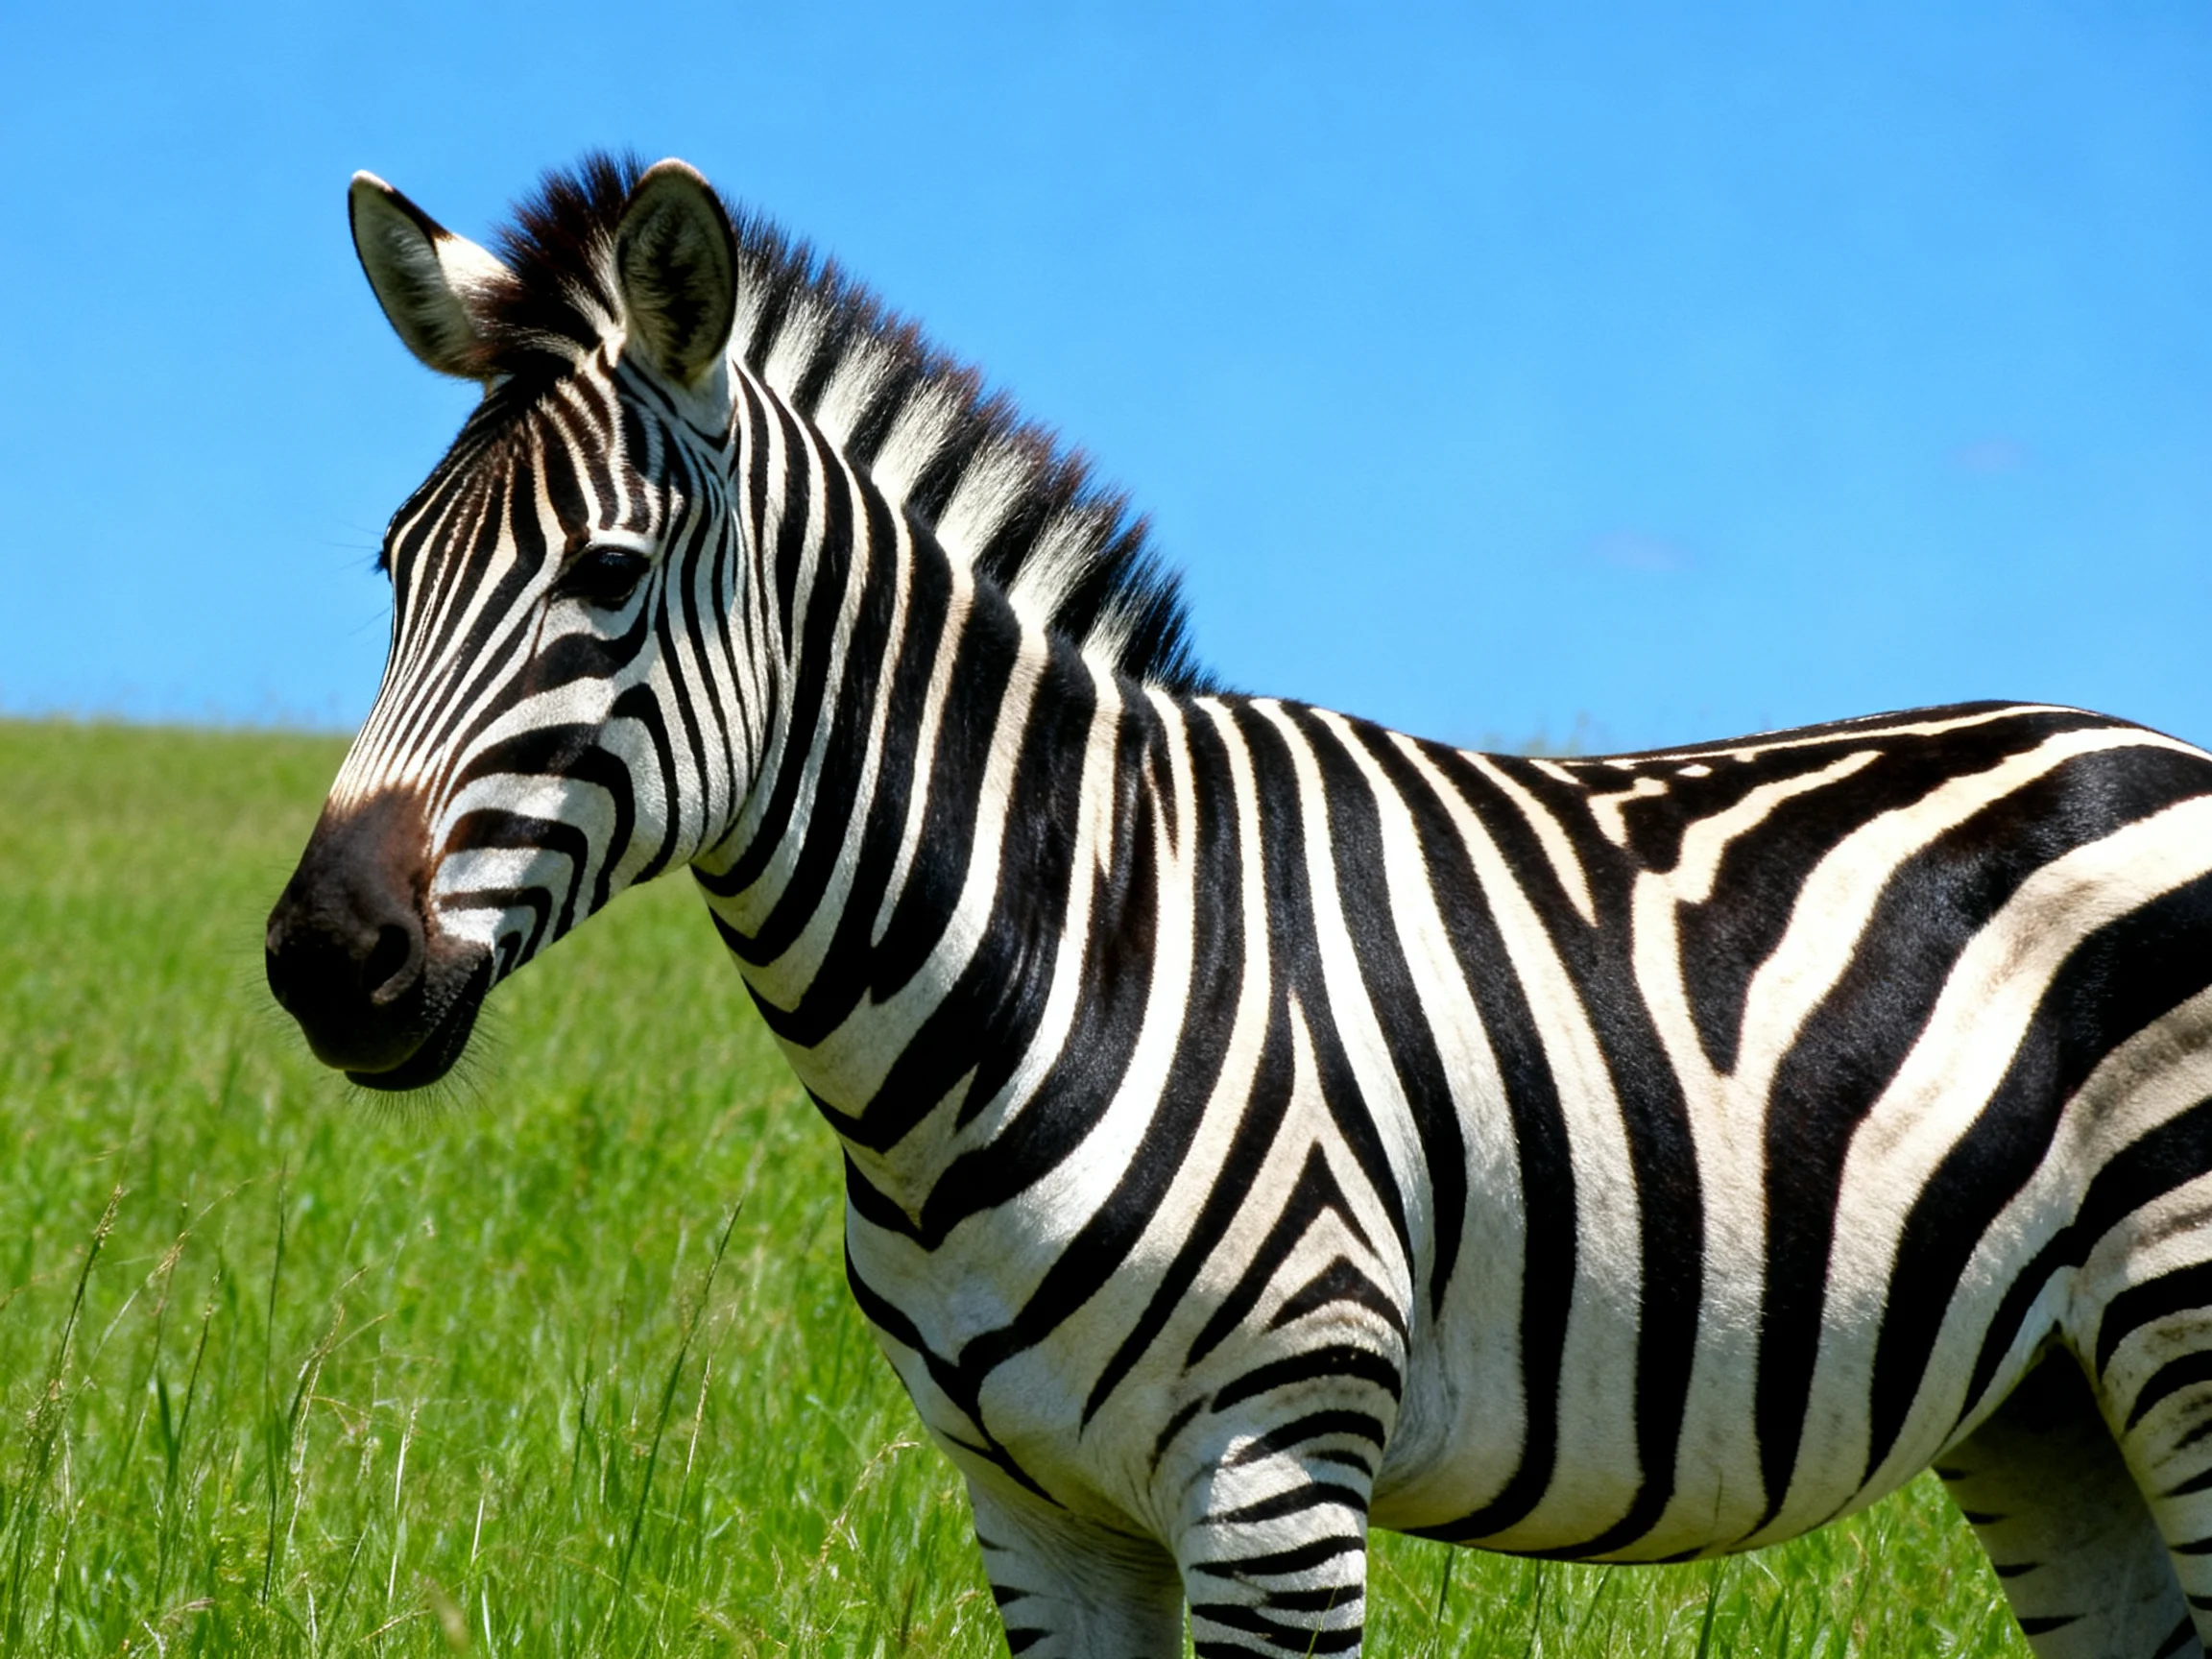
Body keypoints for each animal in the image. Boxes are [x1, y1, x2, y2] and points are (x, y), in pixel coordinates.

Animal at [264, 153, 2212, 1657]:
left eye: (603, 578)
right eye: (393, 567)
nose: (321, 959)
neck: (1052, 954)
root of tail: (2143, 744)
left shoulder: (1276, 1476)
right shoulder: (1032, 1509)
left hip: (2180, 1324)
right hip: (2048, 1403)